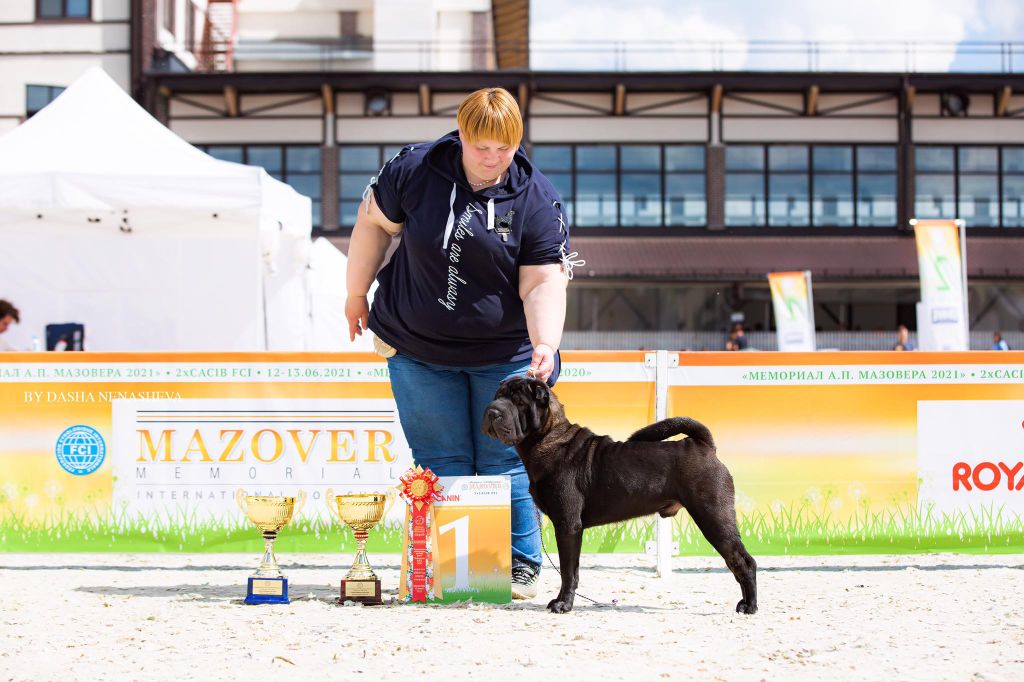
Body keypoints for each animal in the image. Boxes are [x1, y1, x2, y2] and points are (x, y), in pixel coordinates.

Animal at [483, 374, 757, 614]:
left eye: (519, 403)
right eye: (497, 396)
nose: (492, 411)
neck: (549, 438)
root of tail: (704, 446)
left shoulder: (568, 525)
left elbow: (568, 572)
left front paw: (563, 604)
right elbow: (573, 571)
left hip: (714, 517)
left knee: (743, 561)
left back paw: (750, 606)